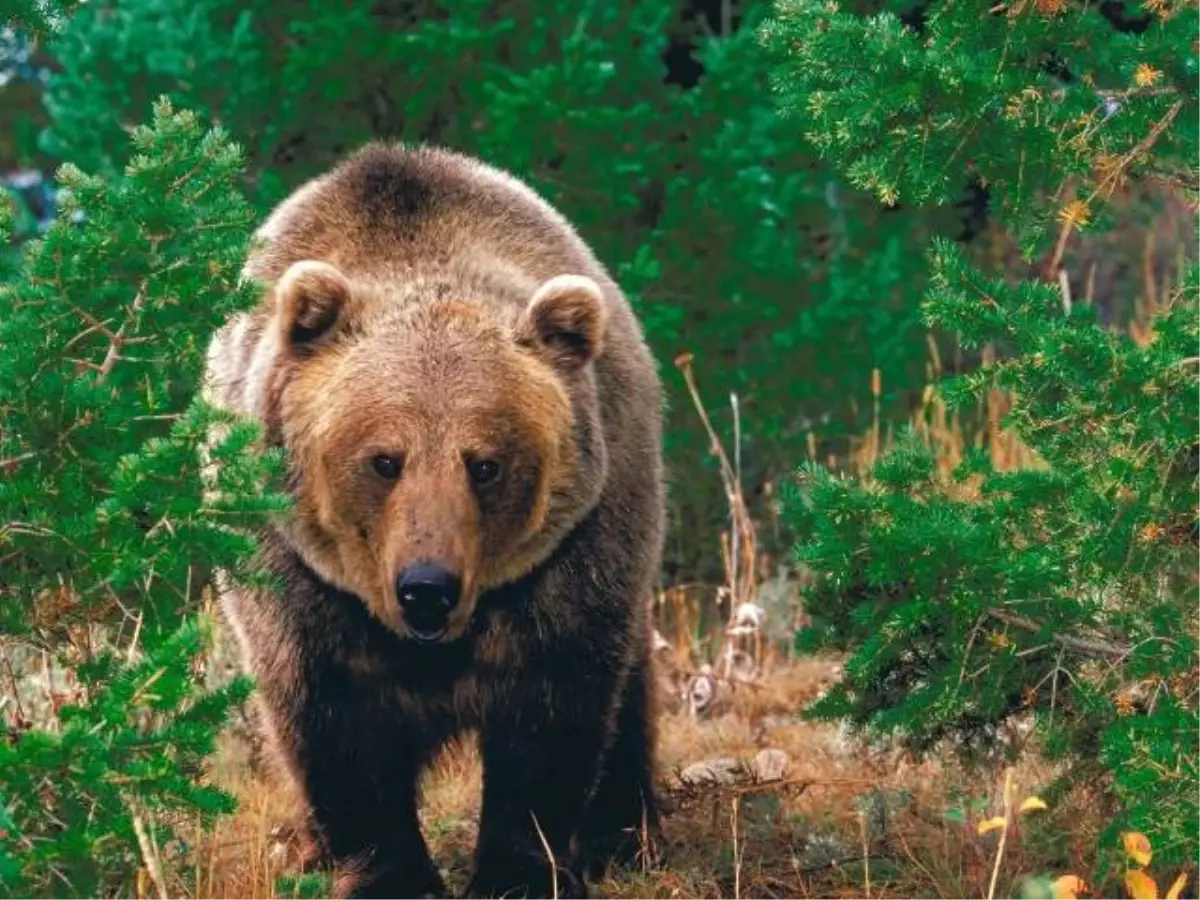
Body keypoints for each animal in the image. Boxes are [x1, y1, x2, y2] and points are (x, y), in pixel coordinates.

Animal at [198, 142, 667, 900]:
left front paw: (519, 870)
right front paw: (388, 874)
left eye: (486, 463)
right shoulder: (297, 575)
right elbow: (336, 724)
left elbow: (550, 715)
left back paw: (622, 834)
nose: (427, 587)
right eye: (384, 459)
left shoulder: (571, 559)